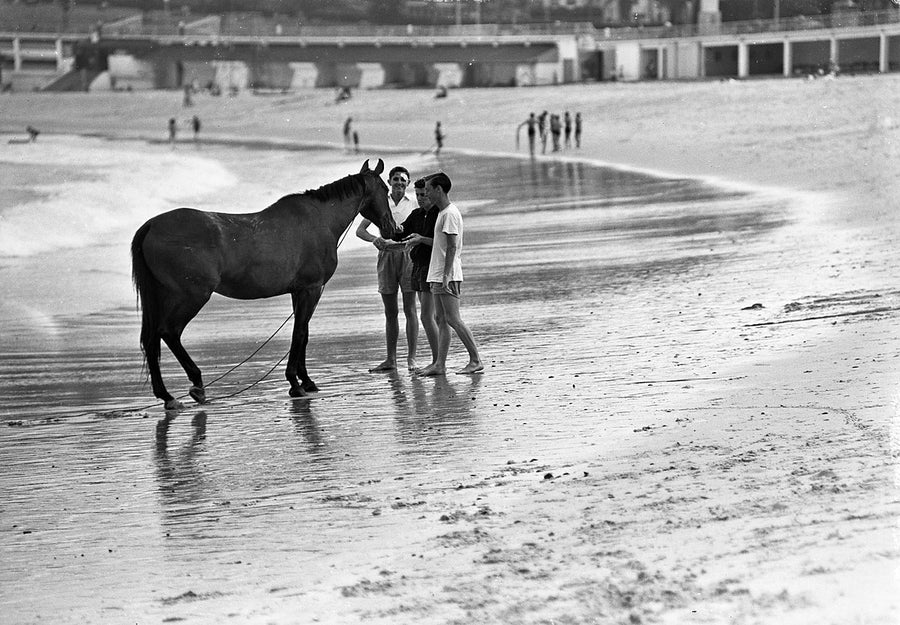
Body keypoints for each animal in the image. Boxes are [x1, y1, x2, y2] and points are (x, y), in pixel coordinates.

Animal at [131, 158, 396, 410]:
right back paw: (196, 385)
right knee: (169, 332)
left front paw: (306, 381)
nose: (393, 228)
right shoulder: (311, 289)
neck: (320, 220)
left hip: (163, 296)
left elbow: (303, 333)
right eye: (385, 189)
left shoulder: (299, 291)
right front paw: (295, 383)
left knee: (152, 339)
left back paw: (166, 396)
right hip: (190, 296)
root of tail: (151, 225)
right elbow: (299, 333)